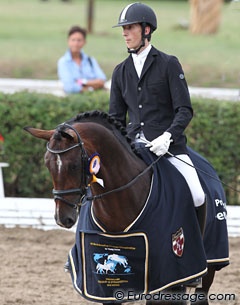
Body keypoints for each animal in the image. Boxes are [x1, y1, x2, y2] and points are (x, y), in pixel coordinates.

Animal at [24, 110, 229, 302]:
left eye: (73, 165)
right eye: (47, 164)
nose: (62, 218)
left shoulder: (165, 276)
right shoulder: (101, 282)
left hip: (208, 265)